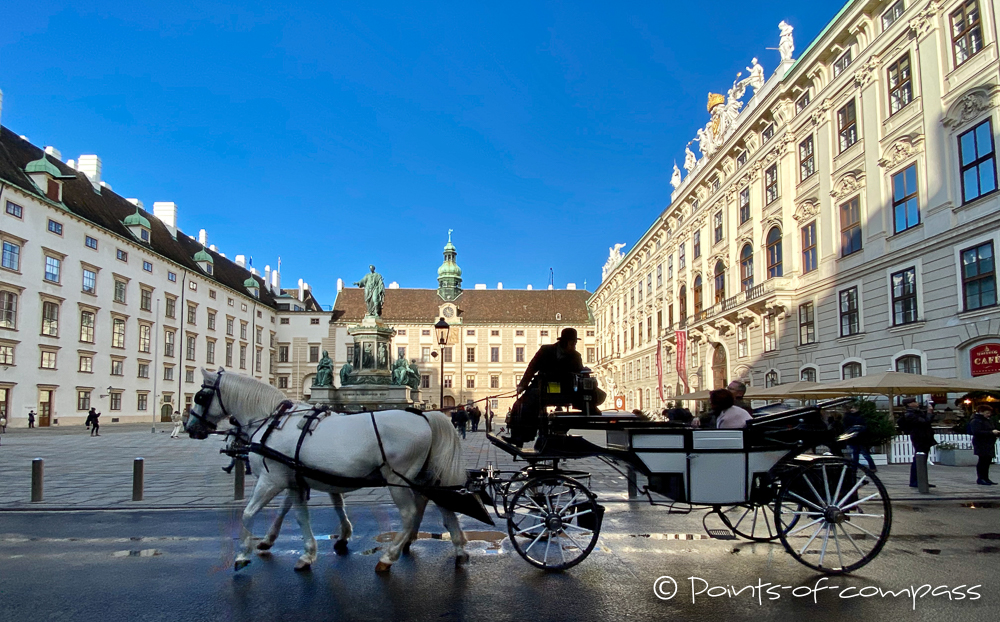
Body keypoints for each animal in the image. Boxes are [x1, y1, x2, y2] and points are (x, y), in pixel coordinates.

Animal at [188, 370, 468, 576]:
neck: (272, 422)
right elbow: (301, 514)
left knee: (410, 513)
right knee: (443, 505)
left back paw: (389, 557)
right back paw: (458, 549)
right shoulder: (295, 480)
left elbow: (248, 513)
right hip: (425, 474)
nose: (190, 427)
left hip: (397, 478)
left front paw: (242, 555)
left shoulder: (271, 479)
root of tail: (424, 416)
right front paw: (305, 552)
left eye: (200, 397)